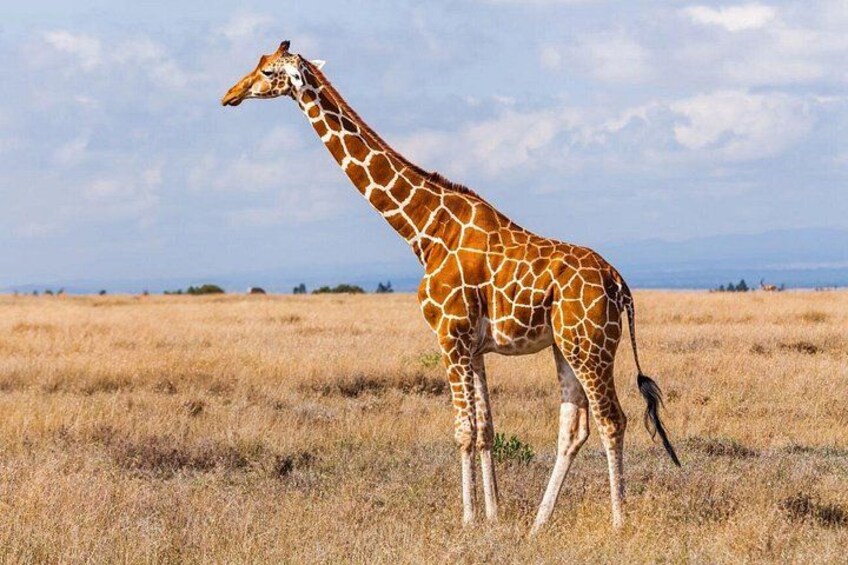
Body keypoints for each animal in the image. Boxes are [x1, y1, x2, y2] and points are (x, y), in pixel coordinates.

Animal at [222, 41, 681, 531]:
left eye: (268, 71)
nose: (230, 94)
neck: (423, 229)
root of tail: (620, 284)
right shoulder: (474, 346)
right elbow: (485, 431)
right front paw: (494, 517)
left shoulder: (449, 335)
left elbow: (463, 431)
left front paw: (467, 520)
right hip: (566, 346)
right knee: (574, 429)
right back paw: (538, 524)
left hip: (591, 346)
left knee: (613, 420)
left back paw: (618, 521)